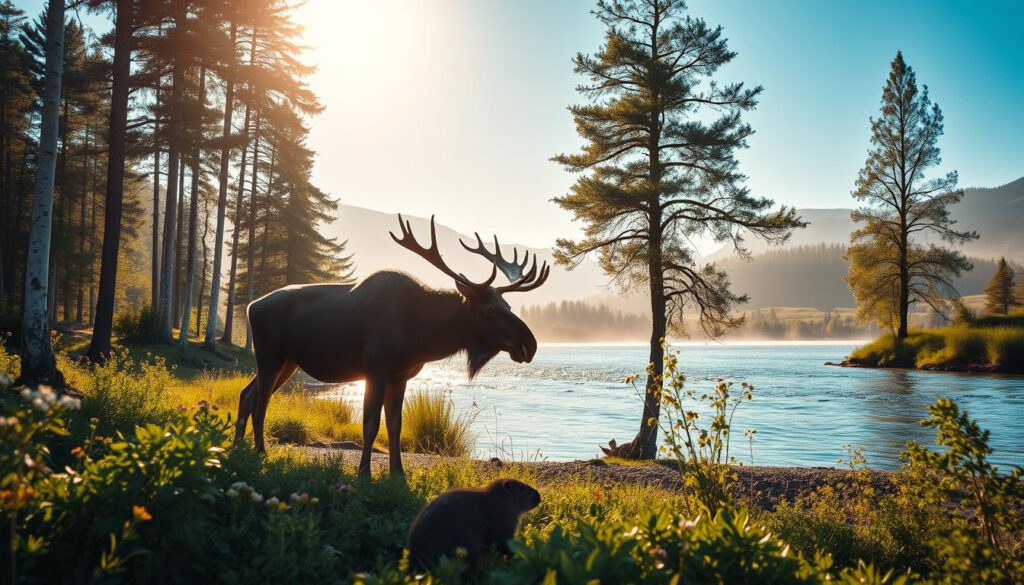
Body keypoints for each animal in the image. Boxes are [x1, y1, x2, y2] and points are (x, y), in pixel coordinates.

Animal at [233, 214, 550, 477]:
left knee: (247, 394)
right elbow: (371, 424)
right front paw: (364, 474)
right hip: (270, 355)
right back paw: (260, 452)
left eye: (508, 305)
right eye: (489, 309)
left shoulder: (401, 376)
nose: (530, 345)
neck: (422, 336)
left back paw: (237, 448)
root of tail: (251, 306)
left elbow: (395, 426)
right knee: (261, 401)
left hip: (288, 361)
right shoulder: (376, 369)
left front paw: (398, 473)